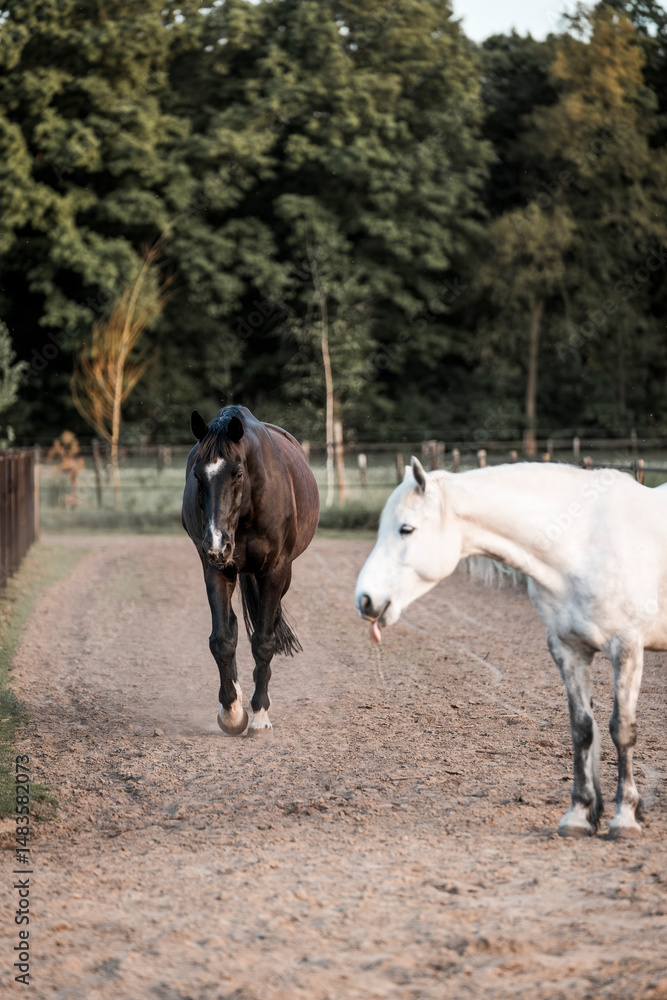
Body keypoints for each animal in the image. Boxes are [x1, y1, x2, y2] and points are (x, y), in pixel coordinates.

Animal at [182, 405, 319, 736]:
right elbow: (222, 639)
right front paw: (232, 712)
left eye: (239, 473)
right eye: (198, 475)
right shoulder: (216, 569)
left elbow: (264, 641)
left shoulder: (275, 571)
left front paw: (259, 714)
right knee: (231, 626)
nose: (216, 543)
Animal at [355, 456, 667, 839]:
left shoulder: (627, 647)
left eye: (406, 529)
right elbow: (582, 729)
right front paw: (580, 815)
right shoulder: (569, 650)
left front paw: (625, 817)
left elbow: (621, 729)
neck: (584, 543)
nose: (365, 599)